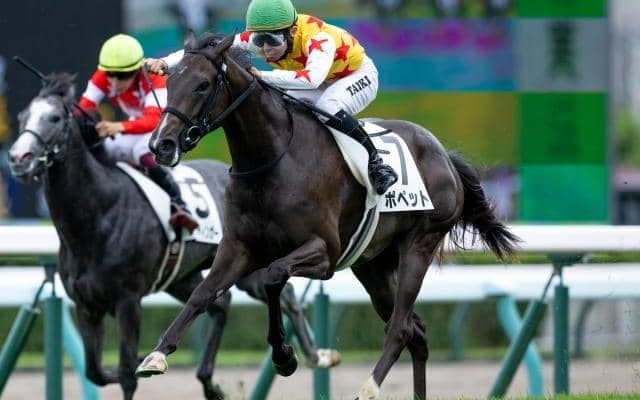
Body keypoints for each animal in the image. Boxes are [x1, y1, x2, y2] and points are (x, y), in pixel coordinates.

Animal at [7, 73, 339, 400]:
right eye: (23, 116)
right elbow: (96, 372)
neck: (96, 218)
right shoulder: (86, 306)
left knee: (285, 294)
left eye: (54, 117)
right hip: (183, 277)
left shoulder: (128, 301)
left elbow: (126, 372)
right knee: (220, 302)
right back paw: (210, 382)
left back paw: (316, 355)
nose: (18, 158)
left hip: (248, 266)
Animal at [136, 32, 519, 400]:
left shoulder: (323, 253)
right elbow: (203, 294)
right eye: (171, 82)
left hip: (419, 245)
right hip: (373, 264)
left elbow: (274, 277)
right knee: (416, 331)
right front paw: (155, 355)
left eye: (202, 85)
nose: (162, 145)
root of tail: (443, 154)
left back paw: (368, 387)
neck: (273, 160)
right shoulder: (238, 248)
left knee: (399, 328)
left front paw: (285, 357)